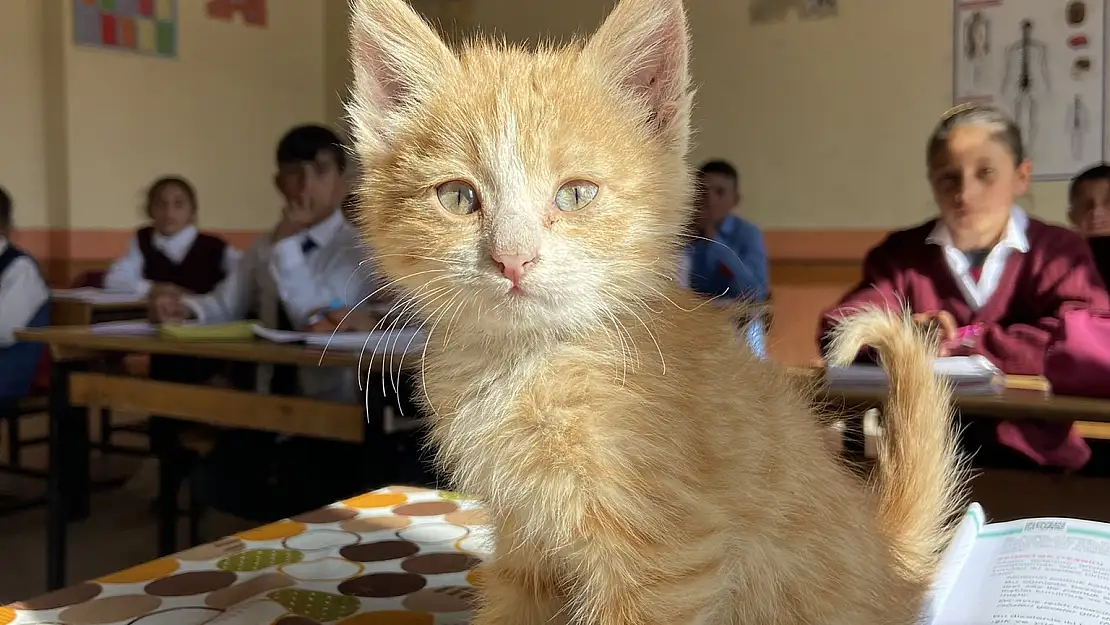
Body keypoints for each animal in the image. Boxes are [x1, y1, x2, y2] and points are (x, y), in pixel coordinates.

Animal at [346, 0, 963, 621]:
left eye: (576, 194)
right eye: (457, 196)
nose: (512, 258)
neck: (531, 363)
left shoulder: (667, 561)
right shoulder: (525, 544)